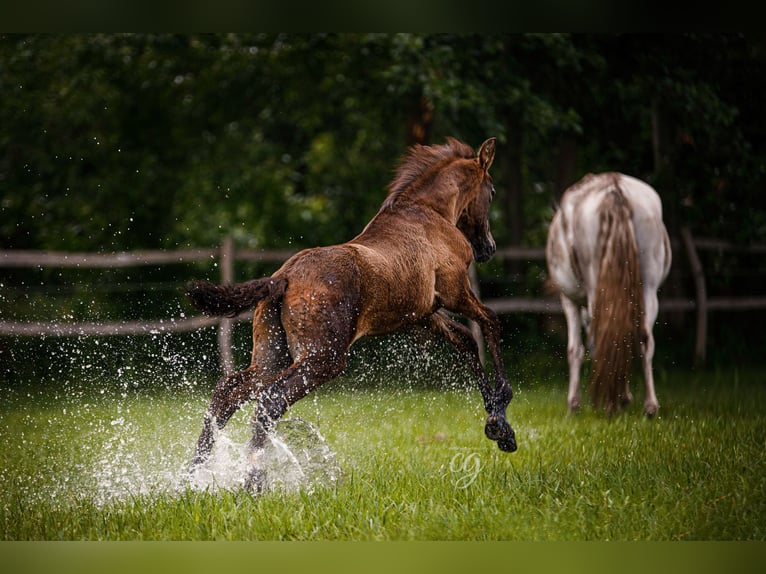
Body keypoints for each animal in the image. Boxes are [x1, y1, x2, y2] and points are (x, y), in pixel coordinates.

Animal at [544, 172, 672, 418]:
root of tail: (614, 189)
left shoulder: (569, 300)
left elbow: (574, 349)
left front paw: (574, 405)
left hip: (597, 290)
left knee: (603, 337)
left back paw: (610, 404)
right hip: (649, 289)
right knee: (643, 339)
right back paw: (649, 406)